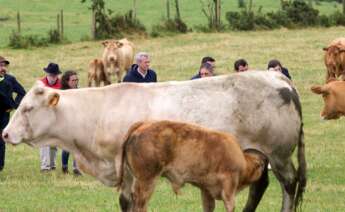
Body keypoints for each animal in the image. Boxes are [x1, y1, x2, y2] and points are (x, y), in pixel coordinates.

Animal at [119, 121, 268, 212]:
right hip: (147, 181)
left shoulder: (206, 190)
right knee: (140, 204)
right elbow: (230, 206)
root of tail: (143, 125)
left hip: (133, 179)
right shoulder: (228, 188)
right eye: (262, 167)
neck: (243, 160)